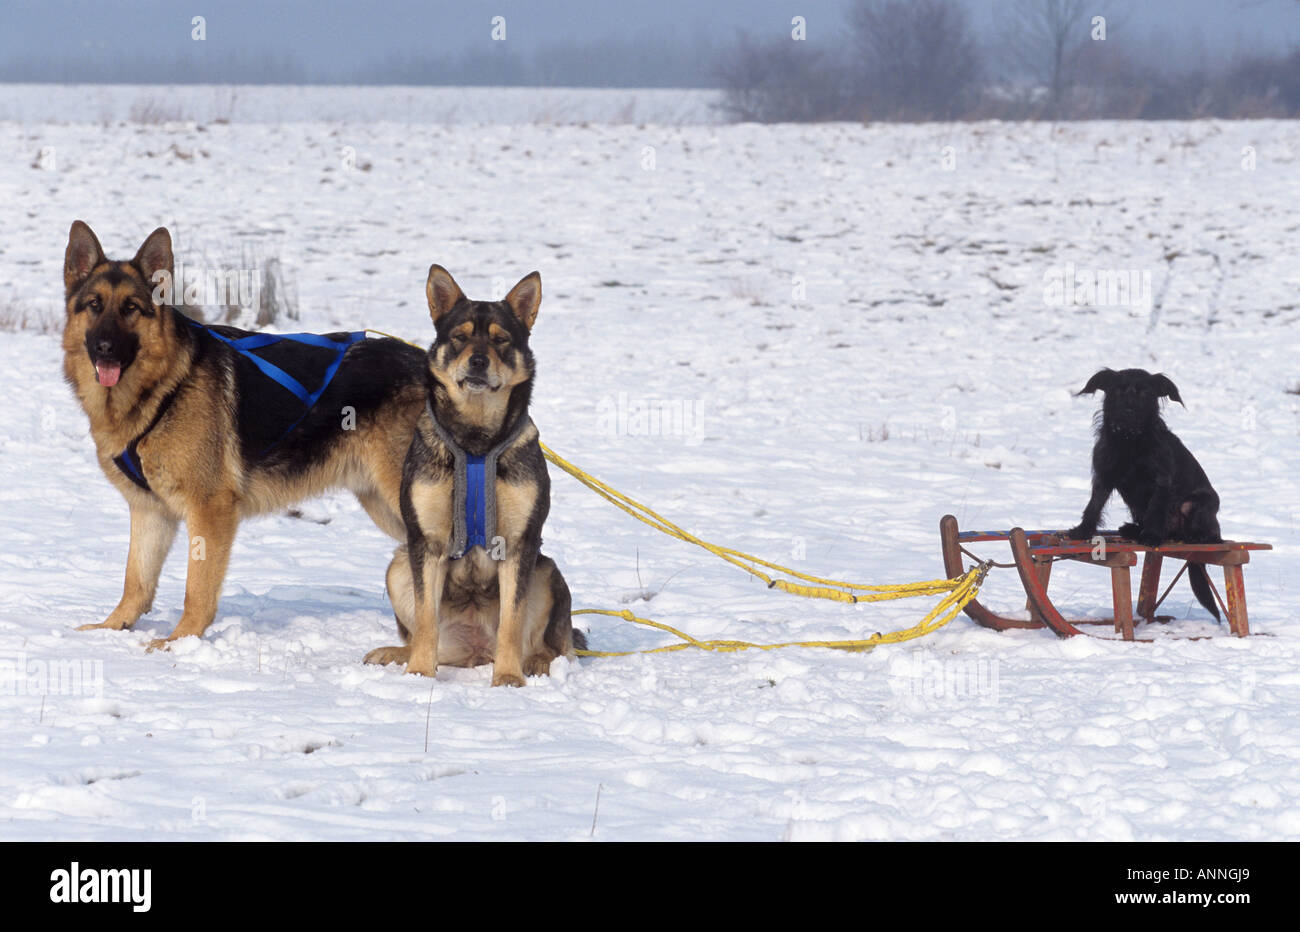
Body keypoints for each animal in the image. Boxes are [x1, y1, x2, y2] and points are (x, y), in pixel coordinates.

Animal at [1060, 369, 1222, 618]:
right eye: (1117, 391)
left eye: (1145, 393)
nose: (1129, 411)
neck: (1129, 440)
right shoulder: (1104, 475)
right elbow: (1094, 505)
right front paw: (1082, 530)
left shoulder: (1161, 481)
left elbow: (1156, 507)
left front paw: (1152, 535)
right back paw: (1132, 529)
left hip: (1195, 505)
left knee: (1207, 535)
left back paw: (1193, 536)